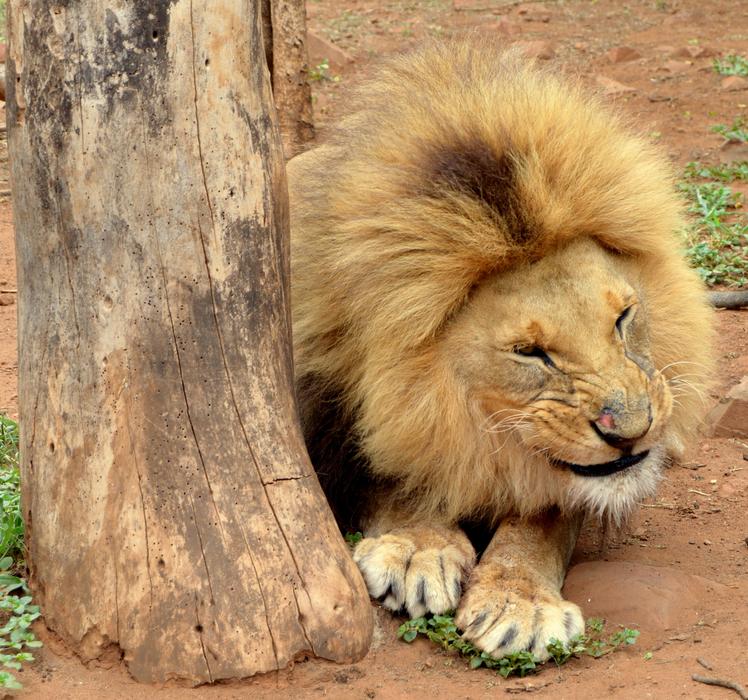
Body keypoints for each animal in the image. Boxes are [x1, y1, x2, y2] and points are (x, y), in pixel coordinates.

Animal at [288, 41, 713, 661]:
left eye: (623, 318)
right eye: (530, 353)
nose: (633, 432)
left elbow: (542, 519)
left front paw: (520, 602)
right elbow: (398, 476)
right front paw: (419, 545)